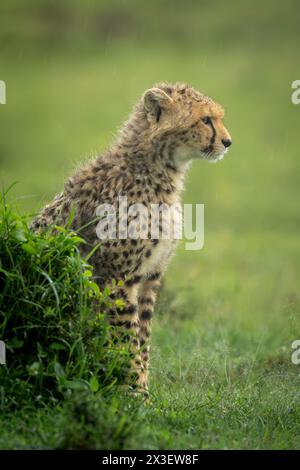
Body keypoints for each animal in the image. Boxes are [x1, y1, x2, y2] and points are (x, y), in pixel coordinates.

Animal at [31, 82, 232, 394]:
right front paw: (136, 394)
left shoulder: (150, 277)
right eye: (206, 120)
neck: (158, 171)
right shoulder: (118, 279)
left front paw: (143, 391)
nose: (228, 141)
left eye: (216, 118)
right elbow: (126, 343)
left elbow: (143, 339)